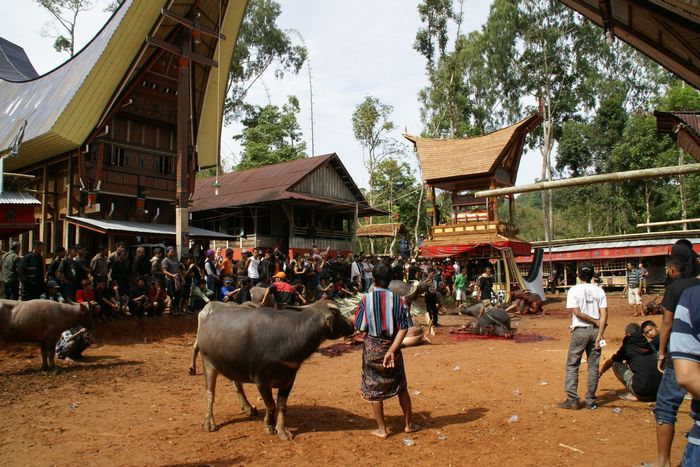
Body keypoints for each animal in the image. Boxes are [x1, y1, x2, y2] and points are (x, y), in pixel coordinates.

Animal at [193, 300, 352, 438]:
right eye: (338, 314)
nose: (351, 325)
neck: (285, 340)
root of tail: (208, 308)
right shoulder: (261, 381)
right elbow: (270, 405)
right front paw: (269, 426)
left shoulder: (289, 380)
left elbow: (282, 406)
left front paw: (282, 430)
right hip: (207, 360)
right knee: (210, 393)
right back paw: (209, 422)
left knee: (237, 384)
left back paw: (248, 408)